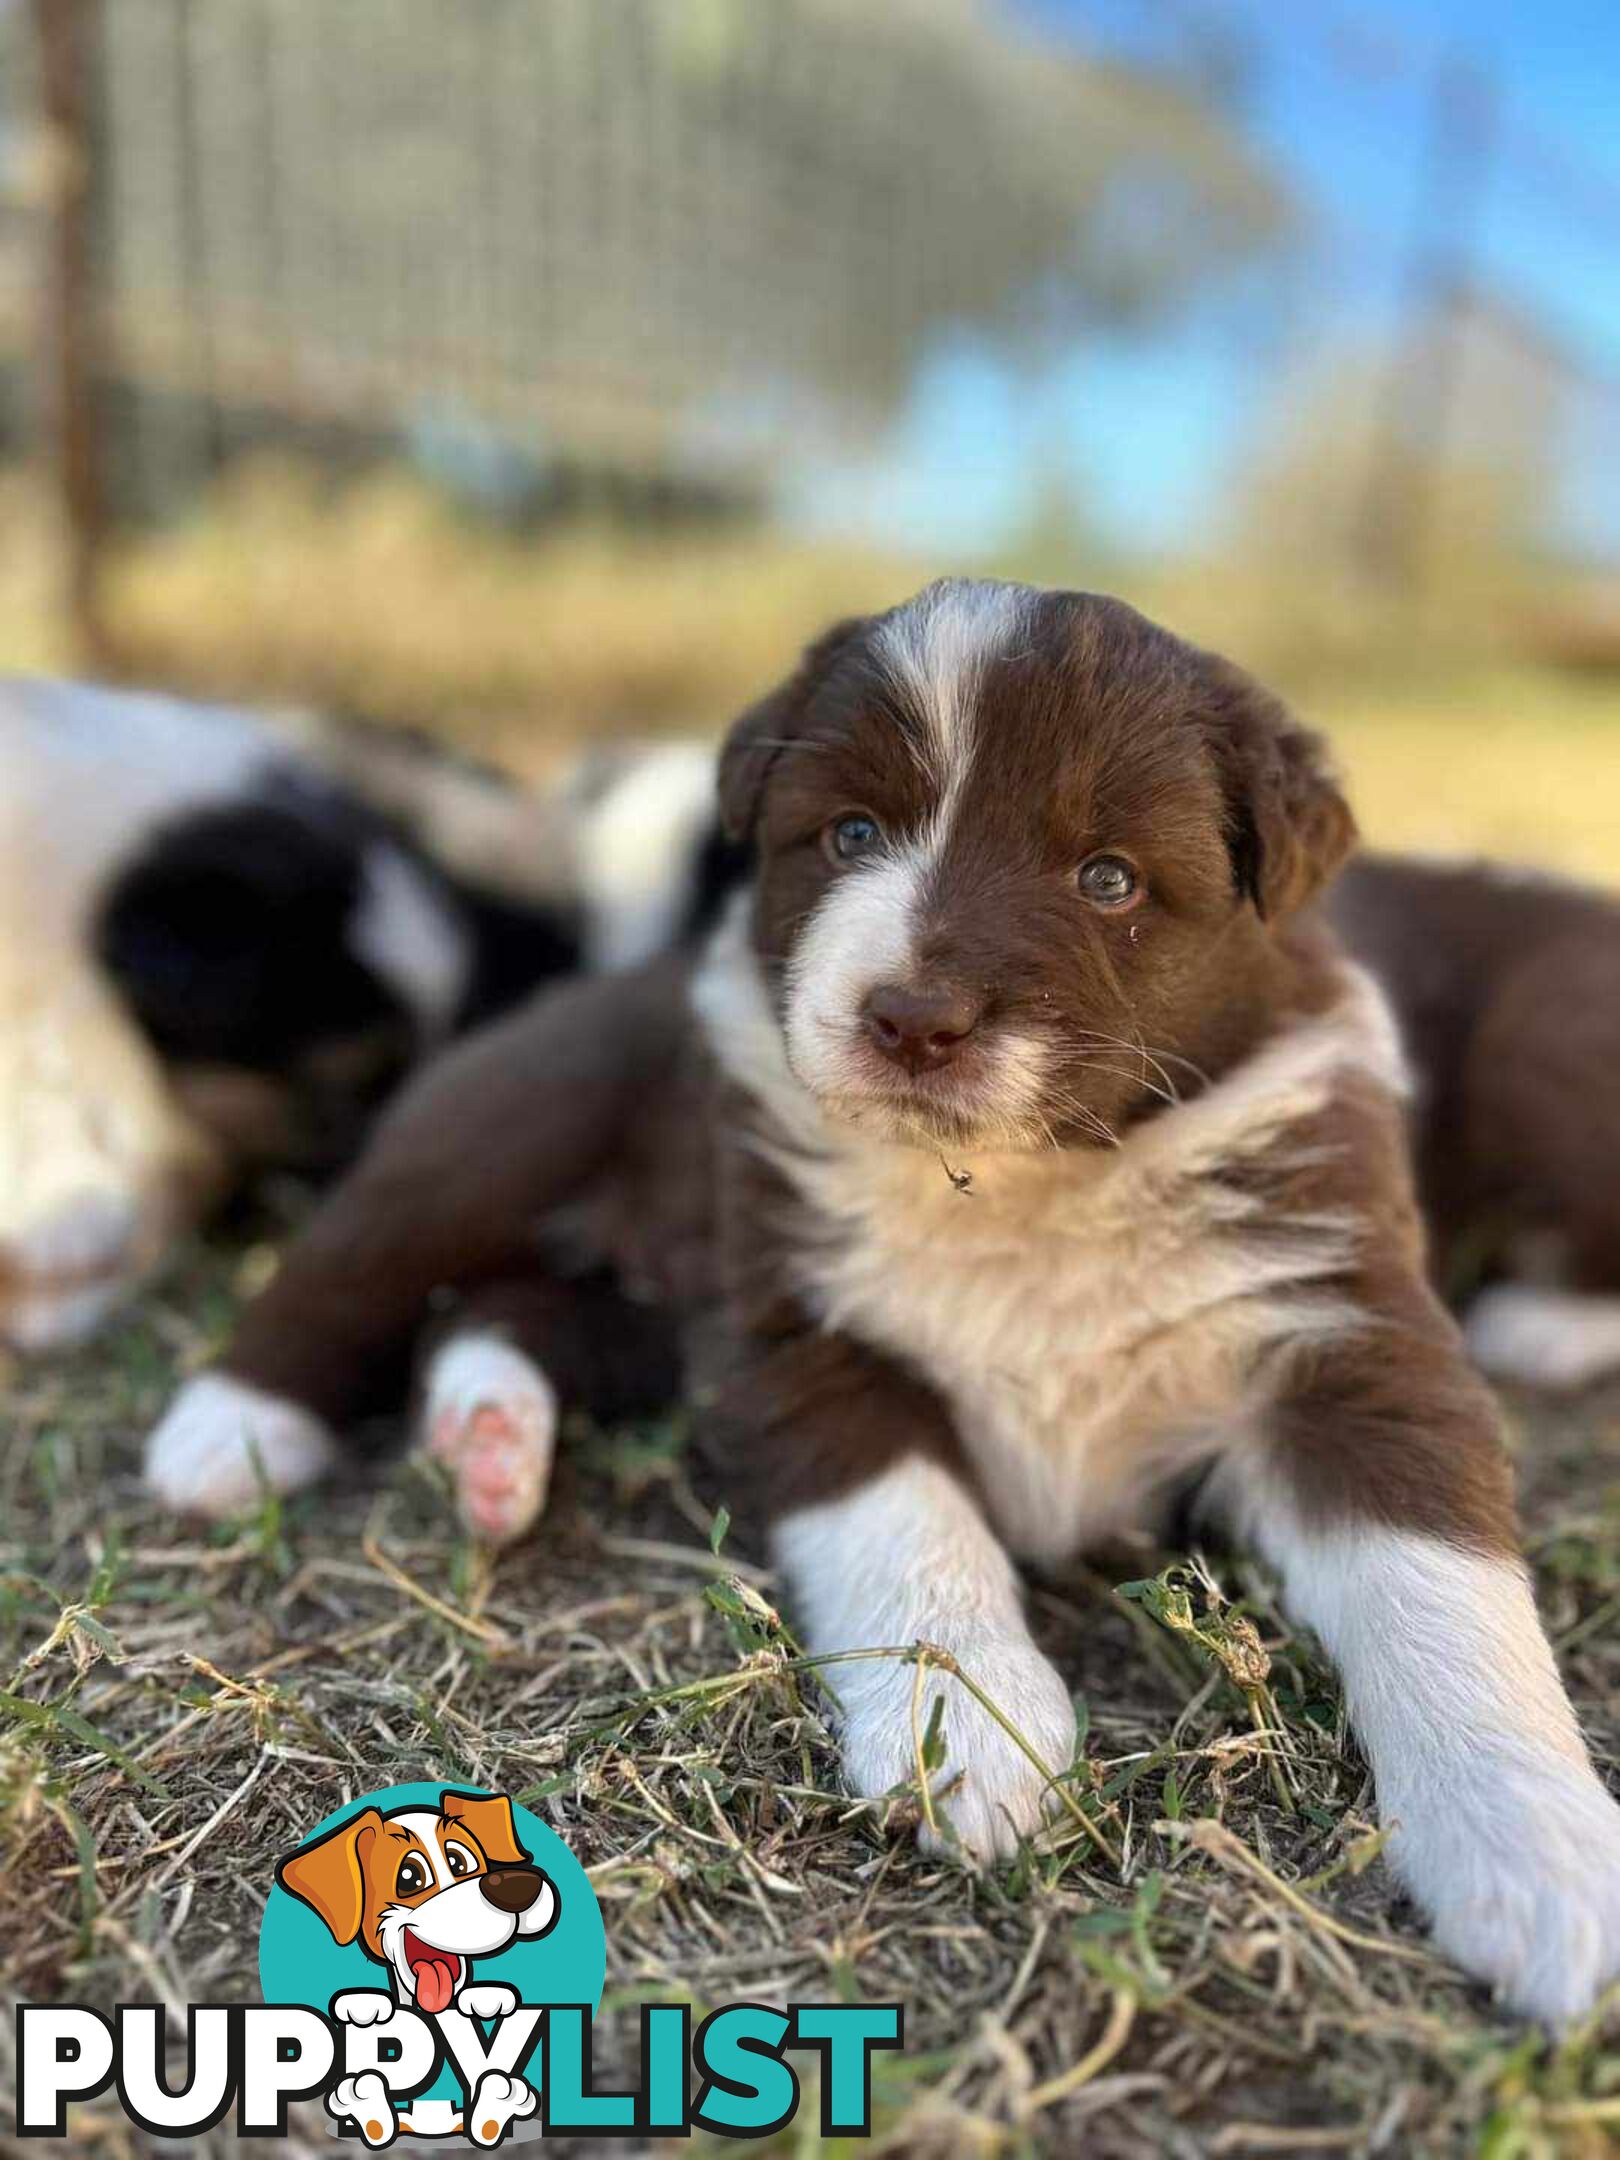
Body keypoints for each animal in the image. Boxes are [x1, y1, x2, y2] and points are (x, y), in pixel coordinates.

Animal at [145, 578, 1620, 2021]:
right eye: (850, 834)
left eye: (1108, 878)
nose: (914, 1017)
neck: (1026, 1186)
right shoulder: (799, 1329)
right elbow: (909, 1526)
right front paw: (971, 1733)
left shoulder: (1345, 1326)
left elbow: (1439, 1587)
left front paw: (1540, 1853)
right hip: (518, 1115)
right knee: (365, 1256)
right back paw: (231, 1434)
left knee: (497, 1310)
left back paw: (493, 1447)